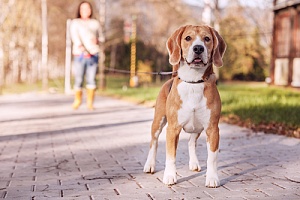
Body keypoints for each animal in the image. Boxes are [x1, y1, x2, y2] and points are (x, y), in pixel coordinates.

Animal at [143, 25, 225, 188]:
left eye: (207, 38)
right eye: (188, 38)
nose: (198, 48)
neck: (194, 82)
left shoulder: (212, 129)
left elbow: (212, 157)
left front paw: (212, 178)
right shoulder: (173, 129)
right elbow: (170, 156)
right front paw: (170, 176)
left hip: (197, 127)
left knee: (191, 142)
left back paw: (194, 163)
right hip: (158, 121)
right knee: (153, 143)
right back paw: (150, 164)